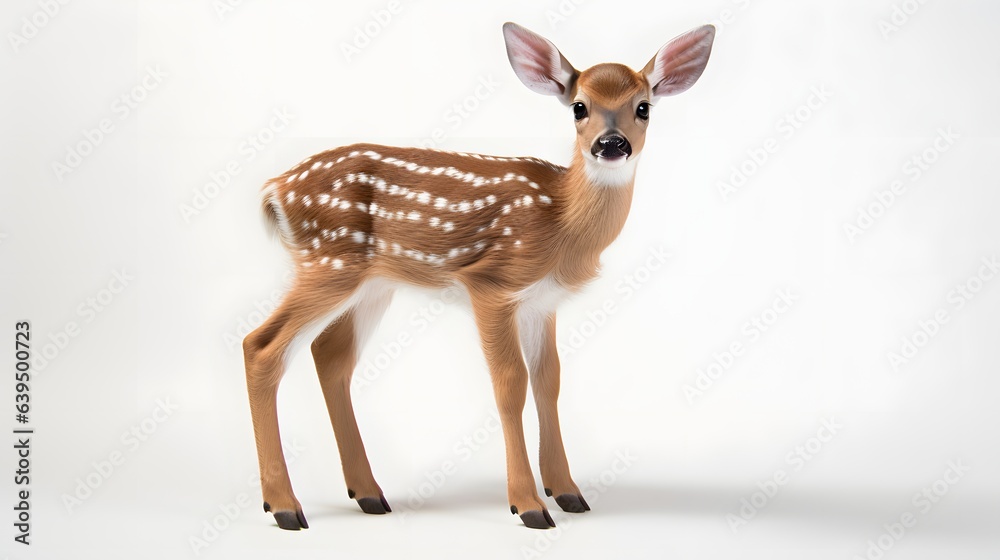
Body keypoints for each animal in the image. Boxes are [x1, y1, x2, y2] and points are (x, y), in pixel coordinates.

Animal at [243, 21, 715, 530]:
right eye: (579, 107)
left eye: (643, 107)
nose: (611, 145)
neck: (562, 223)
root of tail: (275, 190)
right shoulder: (492, 283)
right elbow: (510, 383)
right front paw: (529, 505)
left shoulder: (542, 302)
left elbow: (549, 379)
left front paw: (568, 492)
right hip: (328, 261)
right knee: (261, 346)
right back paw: (285, 507)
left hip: (373, 283)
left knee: (331, 355)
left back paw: (368, 493)